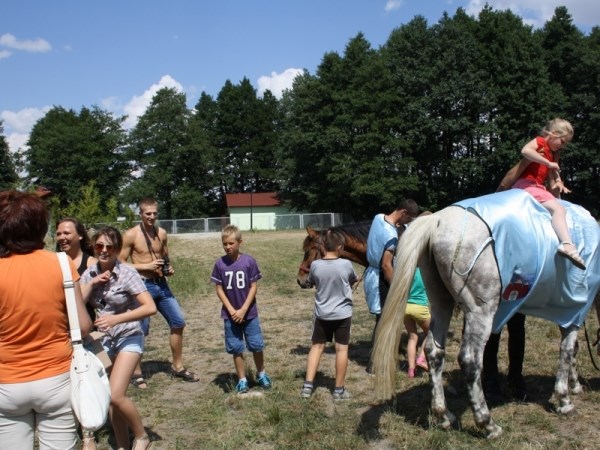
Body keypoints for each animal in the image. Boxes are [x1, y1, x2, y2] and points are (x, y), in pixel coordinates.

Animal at [372, 191, 596, 440]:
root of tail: (436, 220)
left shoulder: (570, 312)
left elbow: (572, 349)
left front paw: (574, 386)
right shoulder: (574, 309)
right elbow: (567, 350)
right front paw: (565, 399)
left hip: (441, 303)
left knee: (433, 351)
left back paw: (444, 415)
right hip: (480, 312)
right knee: (470, 360)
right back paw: (487, 424)